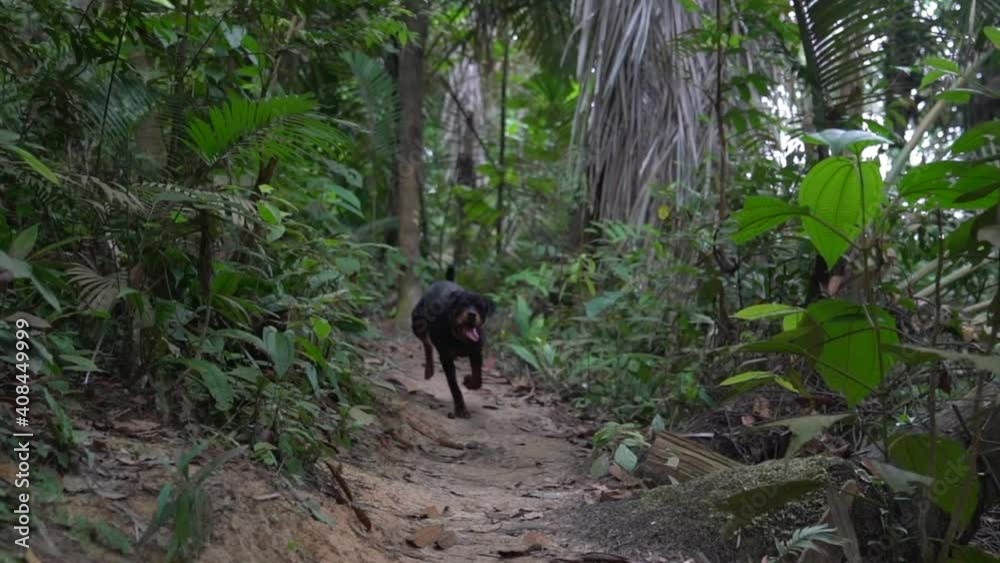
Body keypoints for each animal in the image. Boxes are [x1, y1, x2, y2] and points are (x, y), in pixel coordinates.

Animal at [411, 266, 496, 419]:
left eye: (480, 307)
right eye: (463, 304)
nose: (472, 314)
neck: (460, 338)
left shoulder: (476, 353)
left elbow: (478, 378)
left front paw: (469, 382)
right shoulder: (446, 358)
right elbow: (454, 385)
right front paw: (460, 408)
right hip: (417, 322)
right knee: (427, 343)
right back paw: (429, 369)